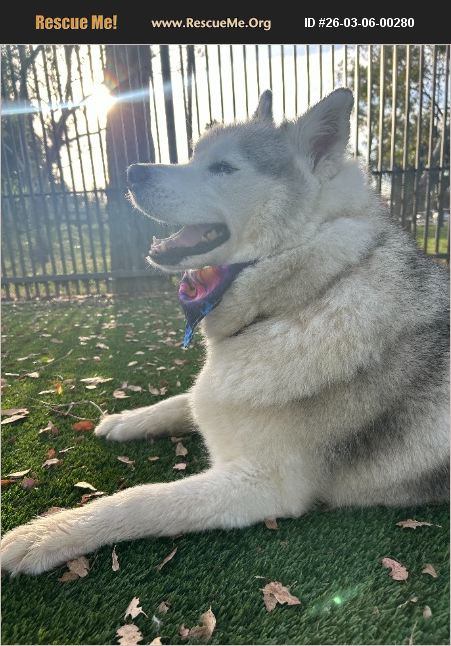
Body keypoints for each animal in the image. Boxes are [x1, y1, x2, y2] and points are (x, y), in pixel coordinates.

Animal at [2, 88, 449, 575]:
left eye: (222, 167)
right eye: (195, 155)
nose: (132, 171)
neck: (304, 295)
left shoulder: (264, 484)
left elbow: (143, 500)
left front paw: (48, 533)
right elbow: (181, 400)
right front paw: (125, 420)